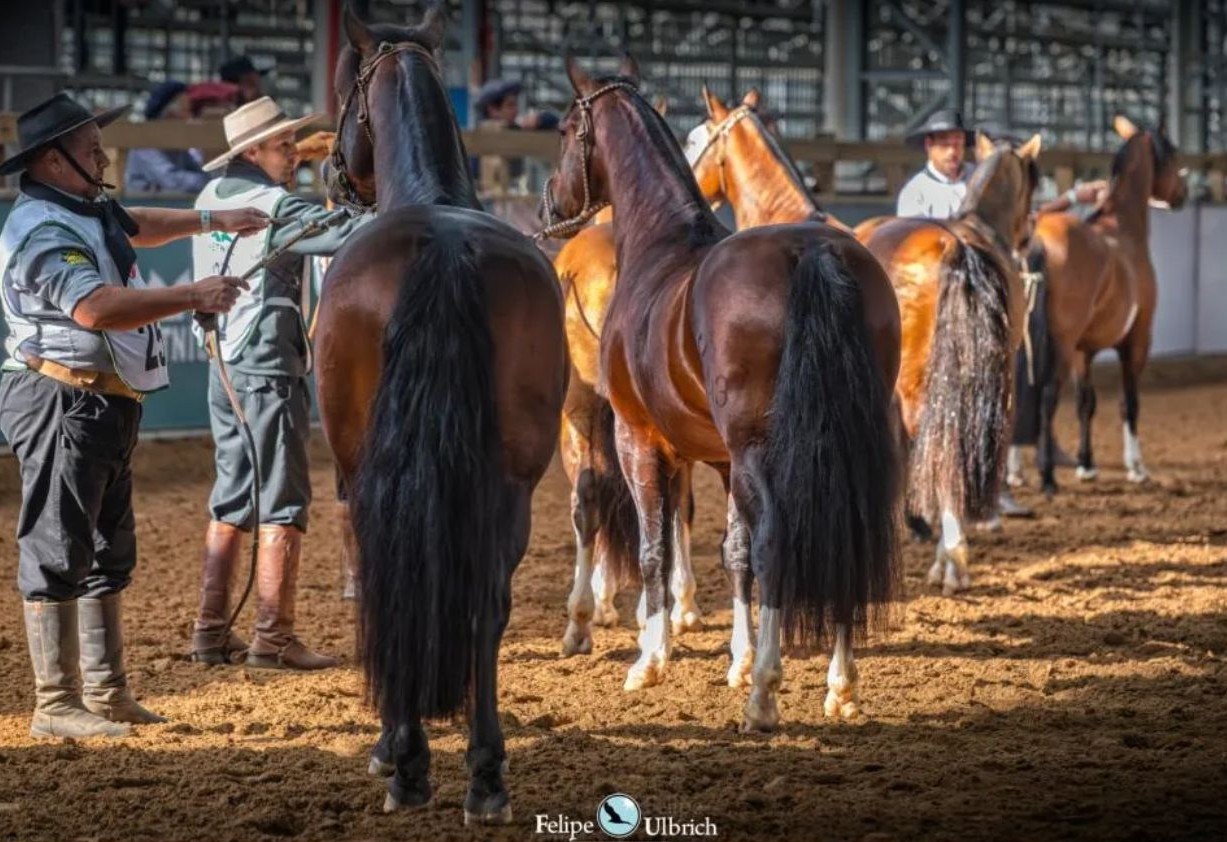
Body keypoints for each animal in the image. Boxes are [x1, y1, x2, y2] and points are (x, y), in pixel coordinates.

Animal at [313, 6, 568, 825]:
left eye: (343, 87)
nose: (334, 172)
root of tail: (446, 248)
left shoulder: (347, 473)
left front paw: (390, 748)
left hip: (369, 470)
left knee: (392, 585)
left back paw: (409, 762)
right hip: (514, 478)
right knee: (488, 602)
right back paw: (485, 777)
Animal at [541, 57, 902, 730]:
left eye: (565, 128)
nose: (552, 204)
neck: (660, 248)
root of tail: (815, 254)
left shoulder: (639, 435)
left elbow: (656, 547)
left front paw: (651, 660)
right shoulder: (723, 458)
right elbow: (732, 552)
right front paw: (735, 657)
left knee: (774, 541)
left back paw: (764, 695)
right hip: (843, 442)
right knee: (843, 534)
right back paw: (840, 686)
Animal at [1019, 116, 1186, 494]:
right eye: (1171, 154)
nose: (1182, 195)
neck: (1121, 227)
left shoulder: (1085, 350)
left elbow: (1086, 404)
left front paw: (1086, 464)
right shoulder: (1136, 341)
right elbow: (1129, 403)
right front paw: (1136, 467)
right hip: (1061, 346)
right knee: (1047, 398)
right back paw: (1047, 476)